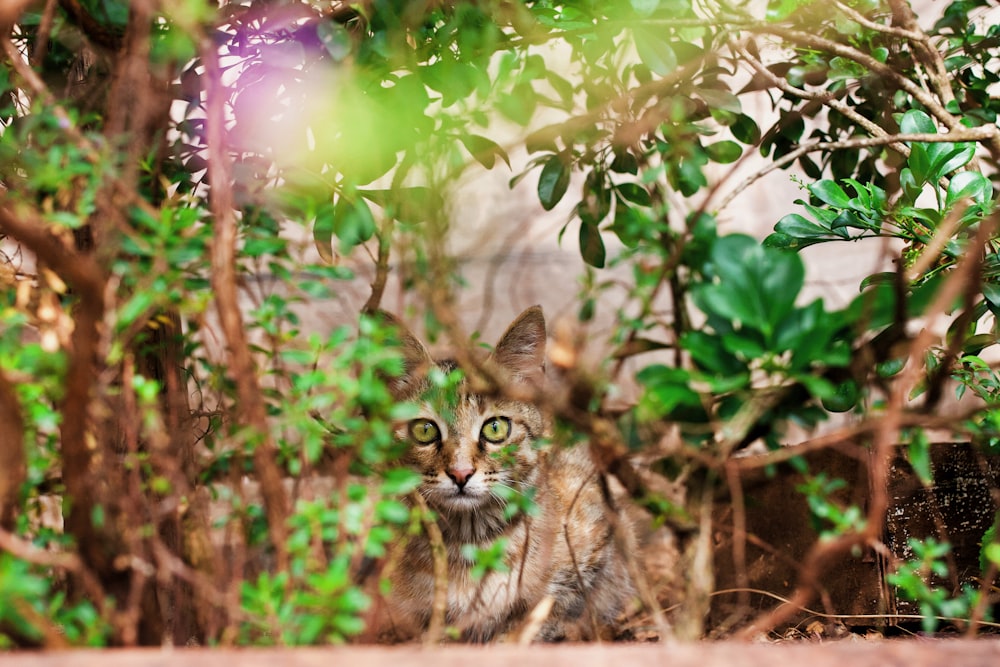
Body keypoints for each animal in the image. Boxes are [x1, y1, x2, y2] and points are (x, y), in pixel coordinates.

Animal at [376, 306, 632, 640]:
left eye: (495, 428)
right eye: (424, 430)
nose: (460, 473)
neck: (469, 539)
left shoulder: (599, 541)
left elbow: (552, 610)